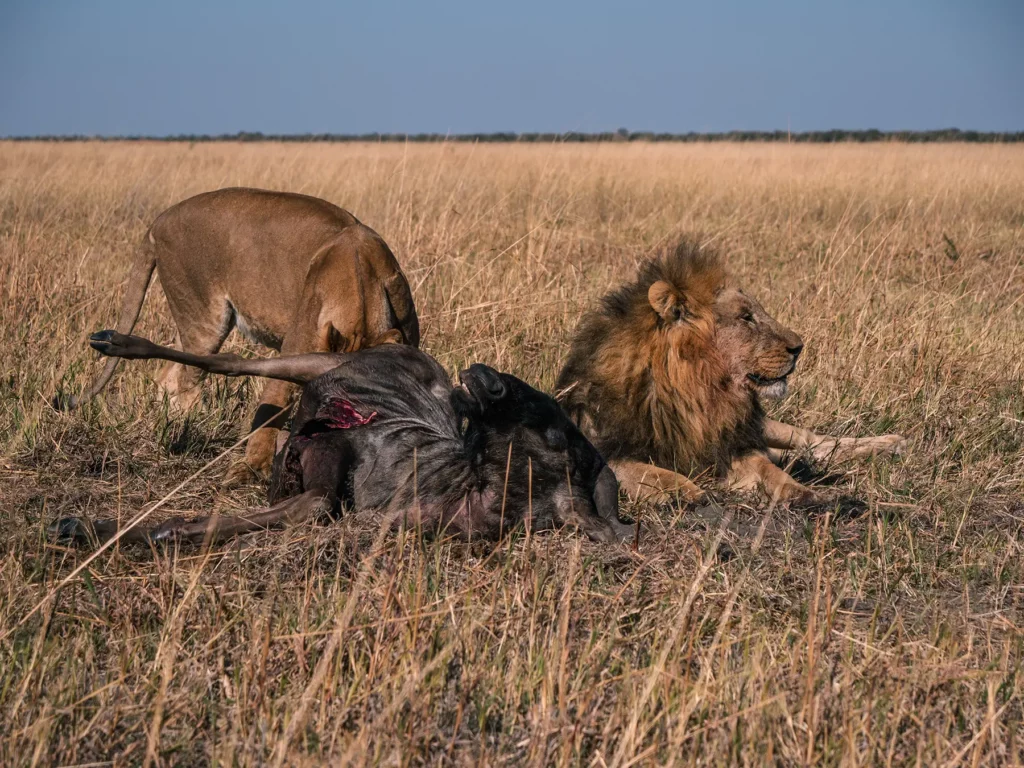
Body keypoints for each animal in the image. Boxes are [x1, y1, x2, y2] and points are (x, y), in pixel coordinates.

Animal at [55, 187, 419, 487]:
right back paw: (187, 431)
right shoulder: (297, 348)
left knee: (167, 376)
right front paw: (250, 469)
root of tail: (157, 221)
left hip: (194, 321)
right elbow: (271, 407)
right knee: (186, 382)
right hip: (204, 317)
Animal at [555, 239, 905, 506]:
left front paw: (803, 492)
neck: (699, 395)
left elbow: (769, 469)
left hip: (766, 427)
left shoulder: (730, 444)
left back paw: (891, 444)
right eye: (746, 317)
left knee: (814, 441)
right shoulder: (603, 451)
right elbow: (645, 471)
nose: (799, 348)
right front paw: (687, 492)